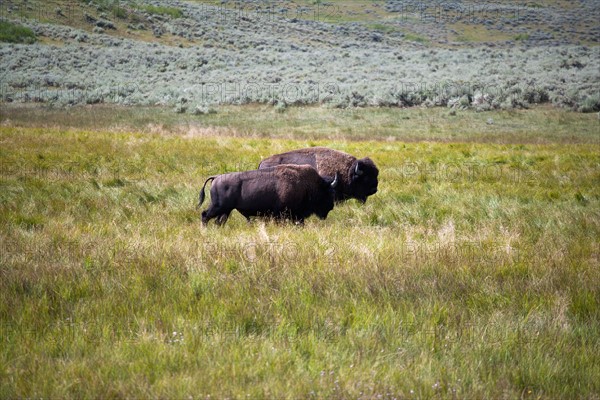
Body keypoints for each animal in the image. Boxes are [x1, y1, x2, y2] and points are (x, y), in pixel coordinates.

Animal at [197, 162, 338, 225]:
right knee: (205, 215)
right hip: (218, 207)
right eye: (329, 193)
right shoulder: (284, 214)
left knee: (218, 221)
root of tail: (216, 177)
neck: (308, 185)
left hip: (226, 210)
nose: (331, 207)